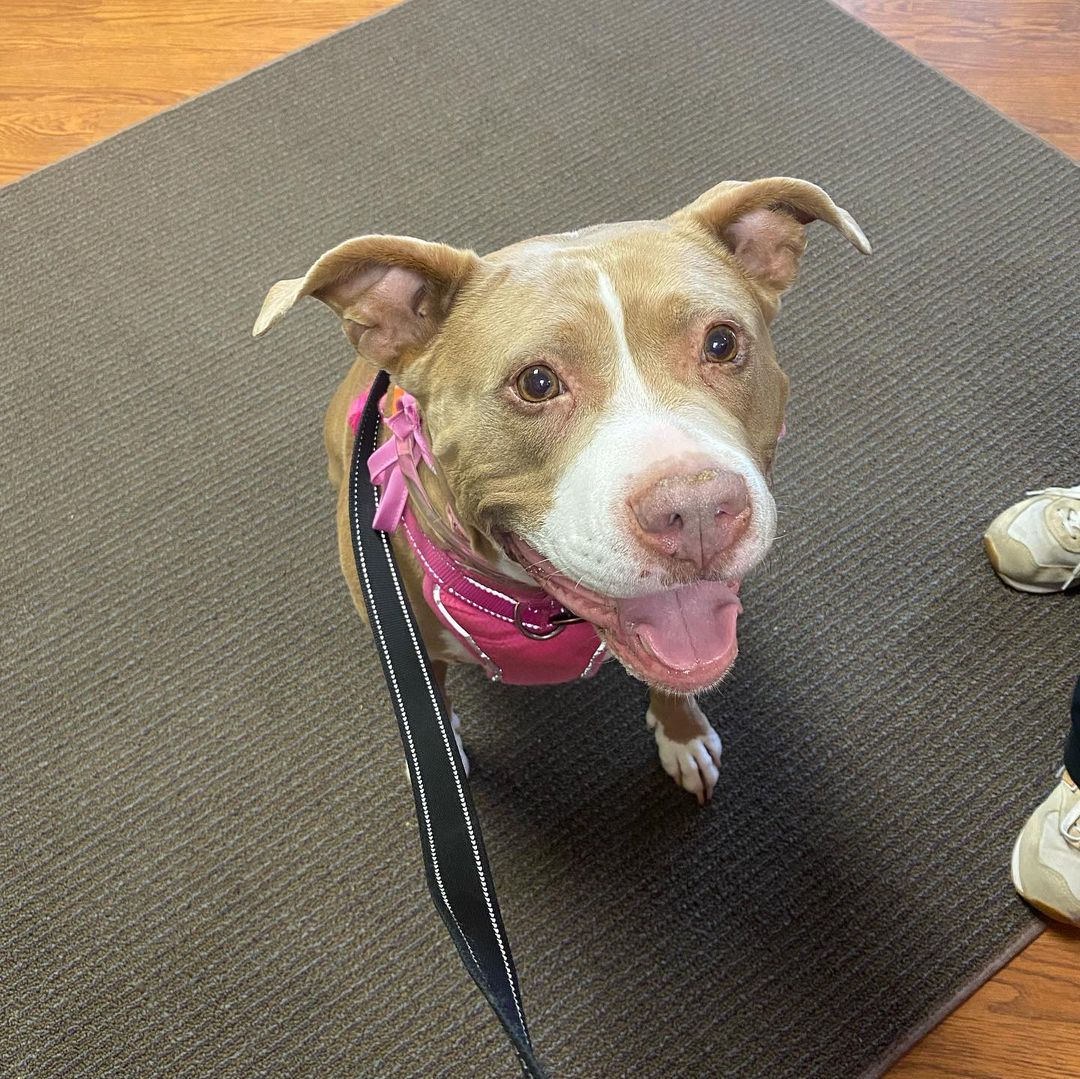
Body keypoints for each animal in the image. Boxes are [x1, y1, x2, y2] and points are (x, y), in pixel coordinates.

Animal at [257, 177, 872, 803]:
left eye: (722, 343)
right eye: (537, 382)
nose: (698, 509)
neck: (537, 607)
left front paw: (683, 733)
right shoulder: (417, 653)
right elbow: (436, 702)